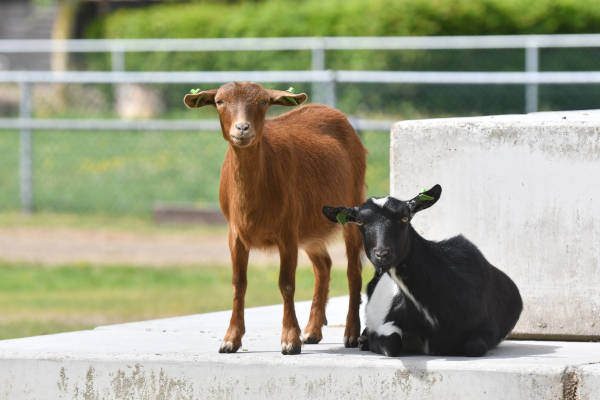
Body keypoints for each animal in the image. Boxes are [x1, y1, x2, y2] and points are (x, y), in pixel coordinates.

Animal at [322, 186, 524, 358]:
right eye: (360, 222)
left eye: (405, 218)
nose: (382, 254)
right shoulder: (389, 321)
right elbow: (392, 343)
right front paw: (366, 339)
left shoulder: (487, 327)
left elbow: (475, 346)